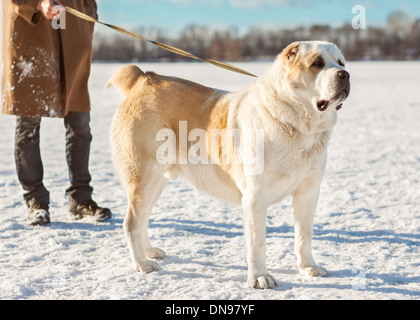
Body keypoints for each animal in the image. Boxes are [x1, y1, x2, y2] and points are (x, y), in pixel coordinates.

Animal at [109, 40, 352, 290]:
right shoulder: (255, 198)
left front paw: (308, 268)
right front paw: (260, 278)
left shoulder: (308, 193)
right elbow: (258, 243)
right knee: (131, 223)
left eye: (341, 62)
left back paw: (149, 252)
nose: (345, 74)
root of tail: (143, 78)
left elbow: (304, 236)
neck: (296, 125)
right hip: (144, 177)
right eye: (317, 63)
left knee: (142, 219)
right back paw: (142, 264)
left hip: (156, 182)